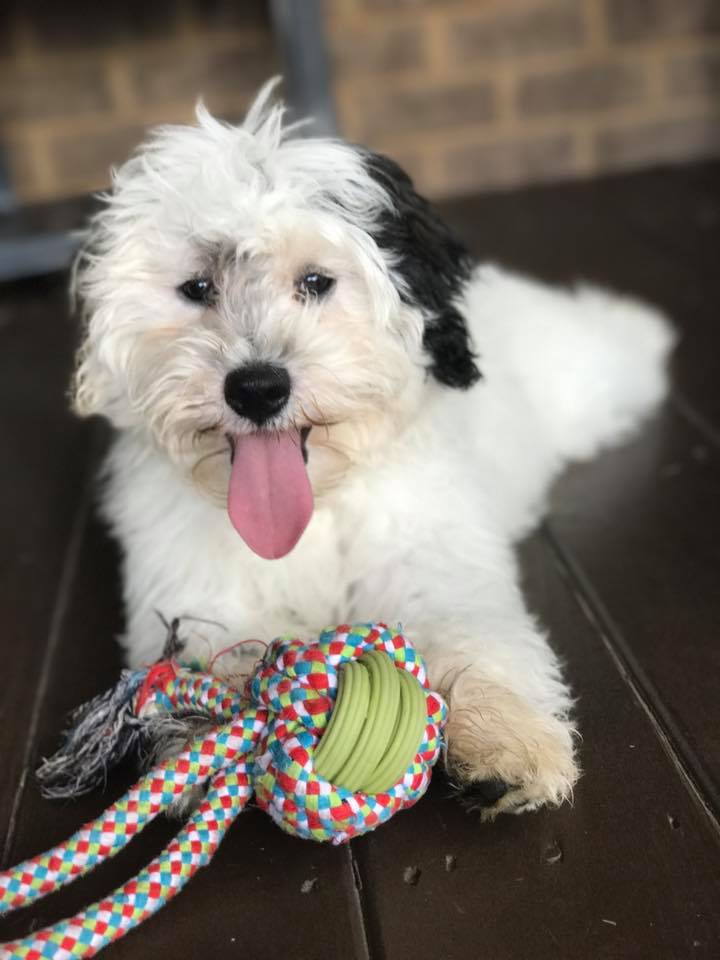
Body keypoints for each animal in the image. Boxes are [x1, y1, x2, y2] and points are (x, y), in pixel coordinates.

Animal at [70, 80, 672, 816]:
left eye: (316, 282)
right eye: (197, 288)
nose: (257, 387)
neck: (317, 506)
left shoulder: (438, 562)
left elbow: (481, 637)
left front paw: (505, 740)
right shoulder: (196, 582)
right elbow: (212, 646)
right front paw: (205, 730)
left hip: (589, 381)